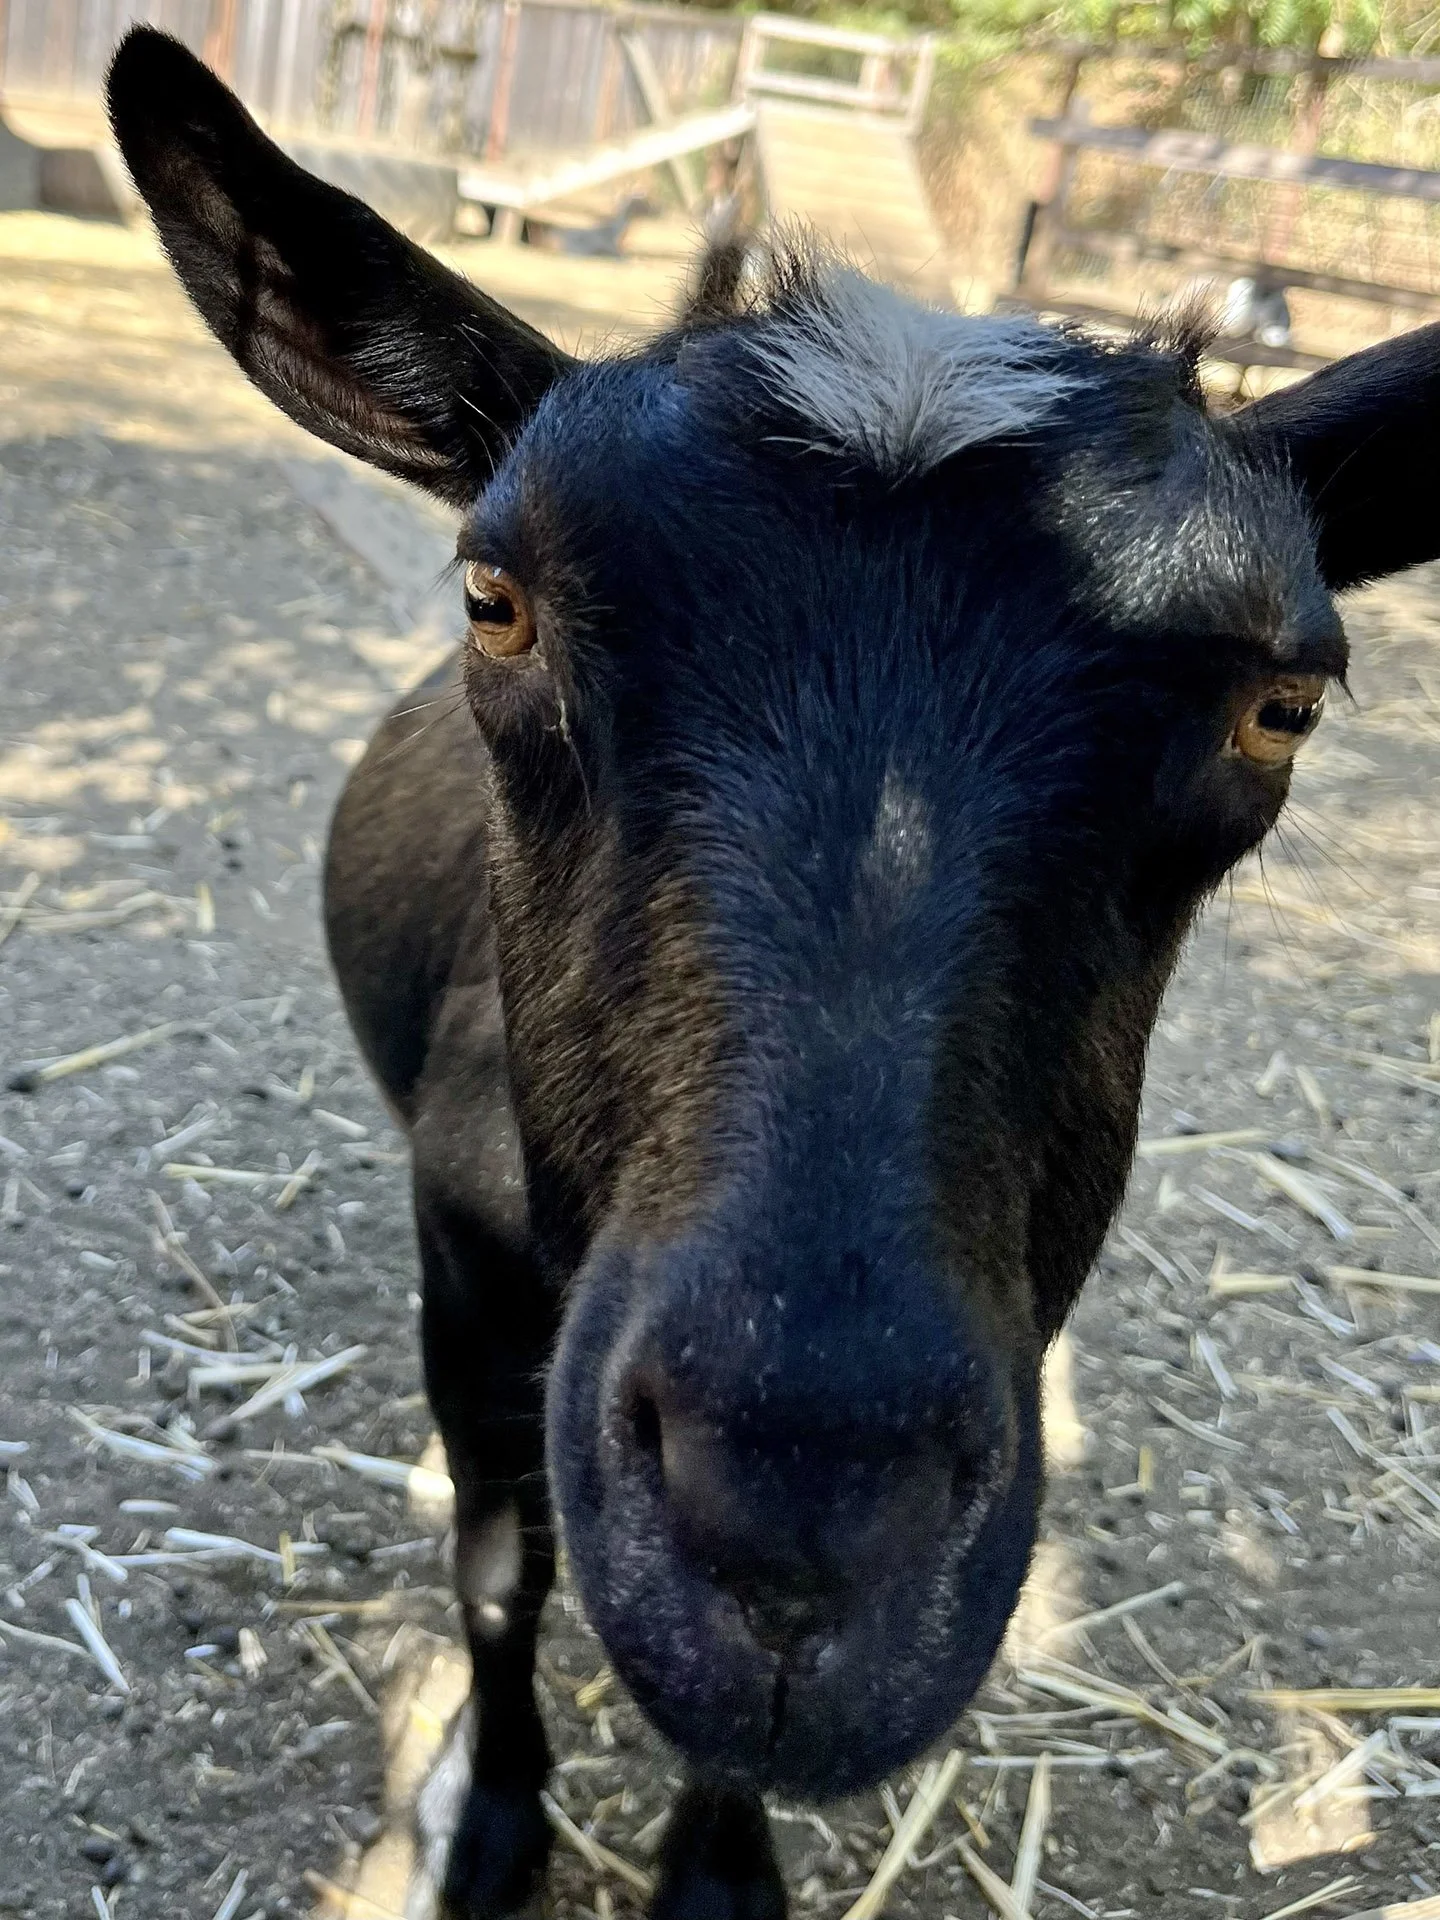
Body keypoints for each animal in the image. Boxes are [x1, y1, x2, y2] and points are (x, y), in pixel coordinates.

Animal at [107, 28, 1440, 1919]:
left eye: (1288, 701)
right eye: (494, 601)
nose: (804, 1521)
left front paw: (719, 1871)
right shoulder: (468, 1276)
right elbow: (502, 1568)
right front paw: (494, 1823)